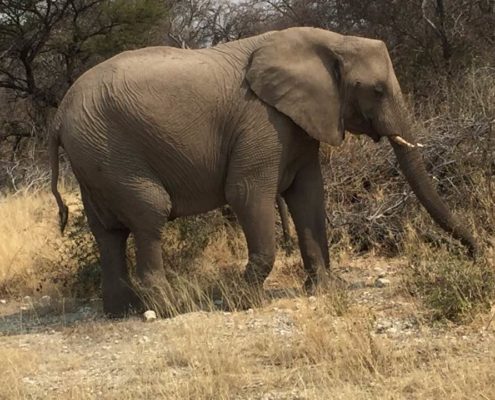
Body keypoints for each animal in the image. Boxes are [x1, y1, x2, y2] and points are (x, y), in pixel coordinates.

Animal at [48, 26, 478, 318]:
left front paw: (326, 288)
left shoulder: (298, 122)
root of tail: (59, 115)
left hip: (94, 156)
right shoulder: (262, 122)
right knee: (149, 213)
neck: (329, 41)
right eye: (375, 90)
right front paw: (240, 302)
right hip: (111, 150)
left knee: (108, 232)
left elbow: (308, 195)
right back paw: (171, 307)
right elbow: (246, 193)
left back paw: (122, 311)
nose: (475, 252)